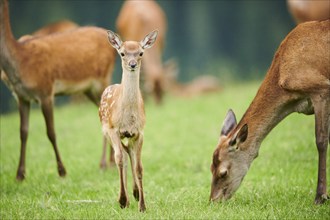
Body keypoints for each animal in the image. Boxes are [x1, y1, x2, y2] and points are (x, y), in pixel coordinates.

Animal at [0, 0, 116, 180]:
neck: (19, 65)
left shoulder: (45, 91)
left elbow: (51, 132)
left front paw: (62, 171)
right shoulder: (21, 96)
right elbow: (23, 132)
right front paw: (20, 174)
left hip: (103, 78)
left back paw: (106, 163)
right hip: (89, 89)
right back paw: (109, 162)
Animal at [98, 29, 158, 211]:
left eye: (141, 53)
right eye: (122, 53)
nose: (132, 64)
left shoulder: (139, 132)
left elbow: (139, 167)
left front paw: (142, 205)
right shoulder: (113, 129)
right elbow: (118, 160)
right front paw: (123, 200)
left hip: (127, 137)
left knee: (128, 153)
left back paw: (135, 192)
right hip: (106, 132)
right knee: (122, 156)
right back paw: (125, 198)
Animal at [210, 20, 328, 205]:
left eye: (223, 172)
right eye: (210, 168)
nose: (213, 201)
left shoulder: (321, 89)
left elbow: (321, 141)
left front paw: (320, 197)